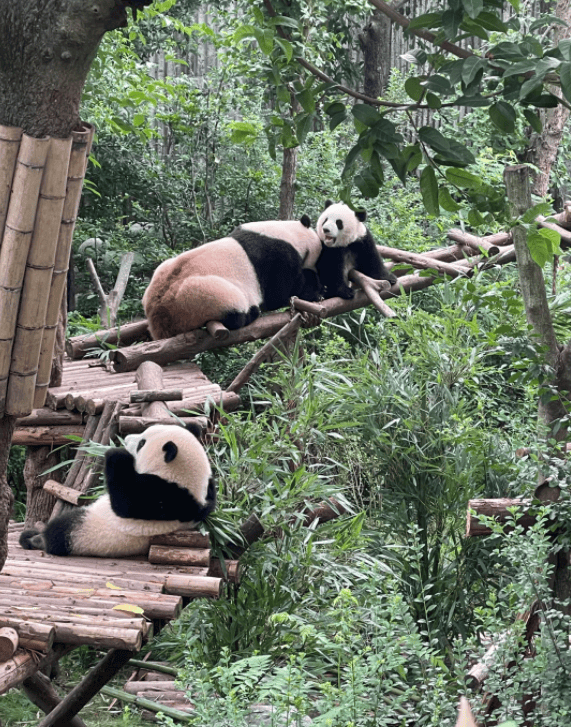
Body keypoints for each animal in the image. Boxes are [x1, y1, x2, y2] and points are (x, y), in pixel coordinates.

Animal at [19, 420, 217, 556]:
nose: (126, 439)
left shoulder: (165, 496)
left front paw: (116, 453)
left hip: (87, 533)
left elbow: (126, 502)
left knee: (61, 531)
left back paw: (37, 540)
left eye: (141, 444)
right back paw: (31, 535)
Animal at [142, 216, 322, 342]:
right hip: (196, 295)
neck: (289, 233)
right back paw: (249, 314)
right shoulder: (275, 258)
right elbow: (280, 292)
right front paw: (316, 291)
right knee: (230, 307)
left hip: (163, 270)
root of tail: (158, 314)